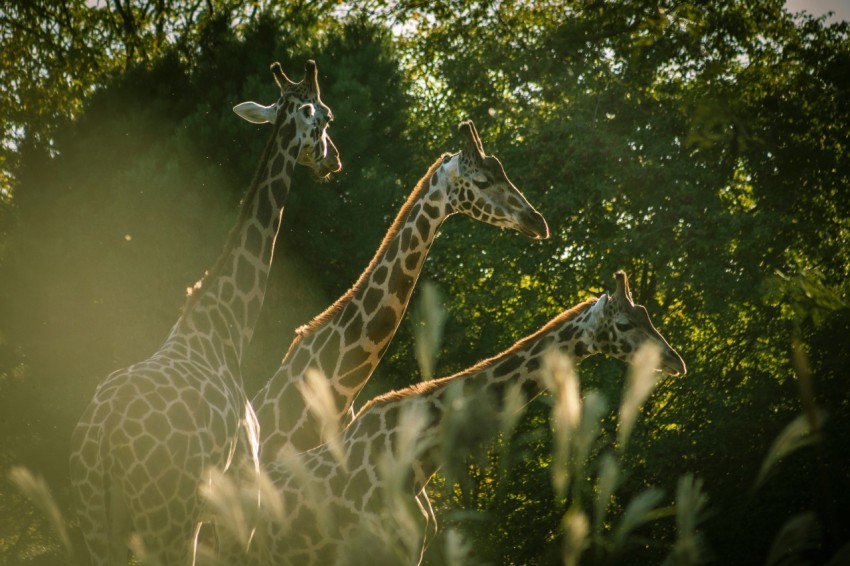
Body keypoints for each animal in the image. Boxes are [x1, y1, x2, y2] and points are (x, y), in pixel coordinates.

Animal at [69, 60, 342, 564]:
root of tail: (101, 438)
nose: (334, 160)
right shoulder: (242, 502)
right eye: (326, 116)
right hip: (168, 523)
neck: (228, 325)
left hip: (99, 525)